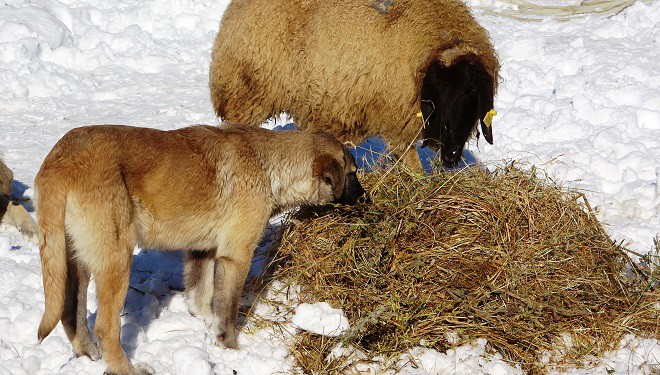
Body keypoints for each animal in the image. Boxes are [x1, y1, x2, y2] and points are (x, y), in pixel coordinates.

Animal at [35, 124, 364, 375]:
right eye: (352, 174)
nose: (366, 198)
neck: (269, 164)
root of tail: (59, 162)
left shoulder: (201, 251)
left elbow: (202, 295)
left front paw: (205, 322)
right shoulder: (235, 256)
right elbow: (227, 309)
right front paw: (229, 347)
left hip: (76, 261)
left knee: (70, 312)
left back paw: (89, 354)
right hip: (116, 259)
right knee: (105, 327)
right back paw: (127, 369)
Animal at [209, 0, 498, 169]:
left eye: (472, 94)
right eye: (436, 93)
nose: (451, 155)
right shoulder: (398, 122)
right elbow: (412, 167)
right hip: (246, 92)